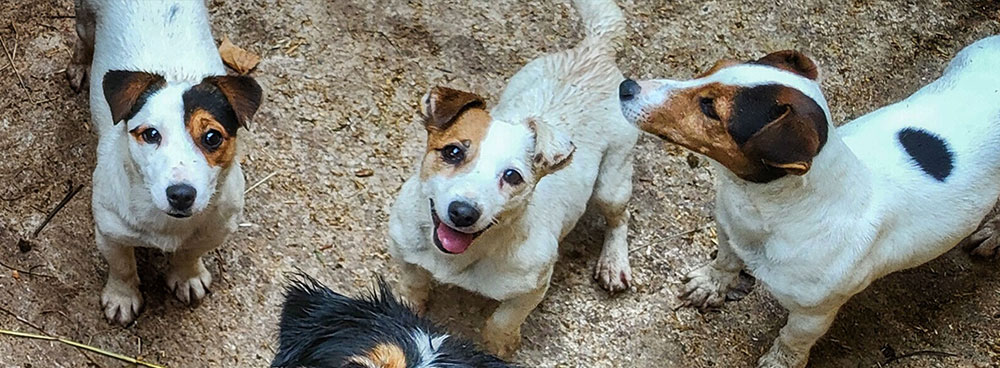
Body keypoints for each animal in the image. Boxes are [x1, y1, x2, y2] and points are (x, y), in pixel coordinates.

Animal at [71, 1, 266, 326]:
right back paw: (79, 66)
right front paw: (122, 297)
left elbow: (190, 254)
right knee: (84, 41)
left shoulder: (217, 228)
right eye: (150, 134)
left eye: (212, 136)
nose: (181, 195)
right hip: (85, 19)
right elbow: (122, 267)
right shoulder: (110, 231)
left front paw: (187, 276)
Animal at [620, 35, 1000, 368]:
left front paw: (779, 361)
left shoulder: (813, 312)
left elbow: (792, 339)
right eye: (713, 68)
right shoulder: (728, 228)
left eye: (710, 108)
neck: (768, 209)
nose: (626, 87)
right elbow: (725, 261)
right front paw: (710, 285)